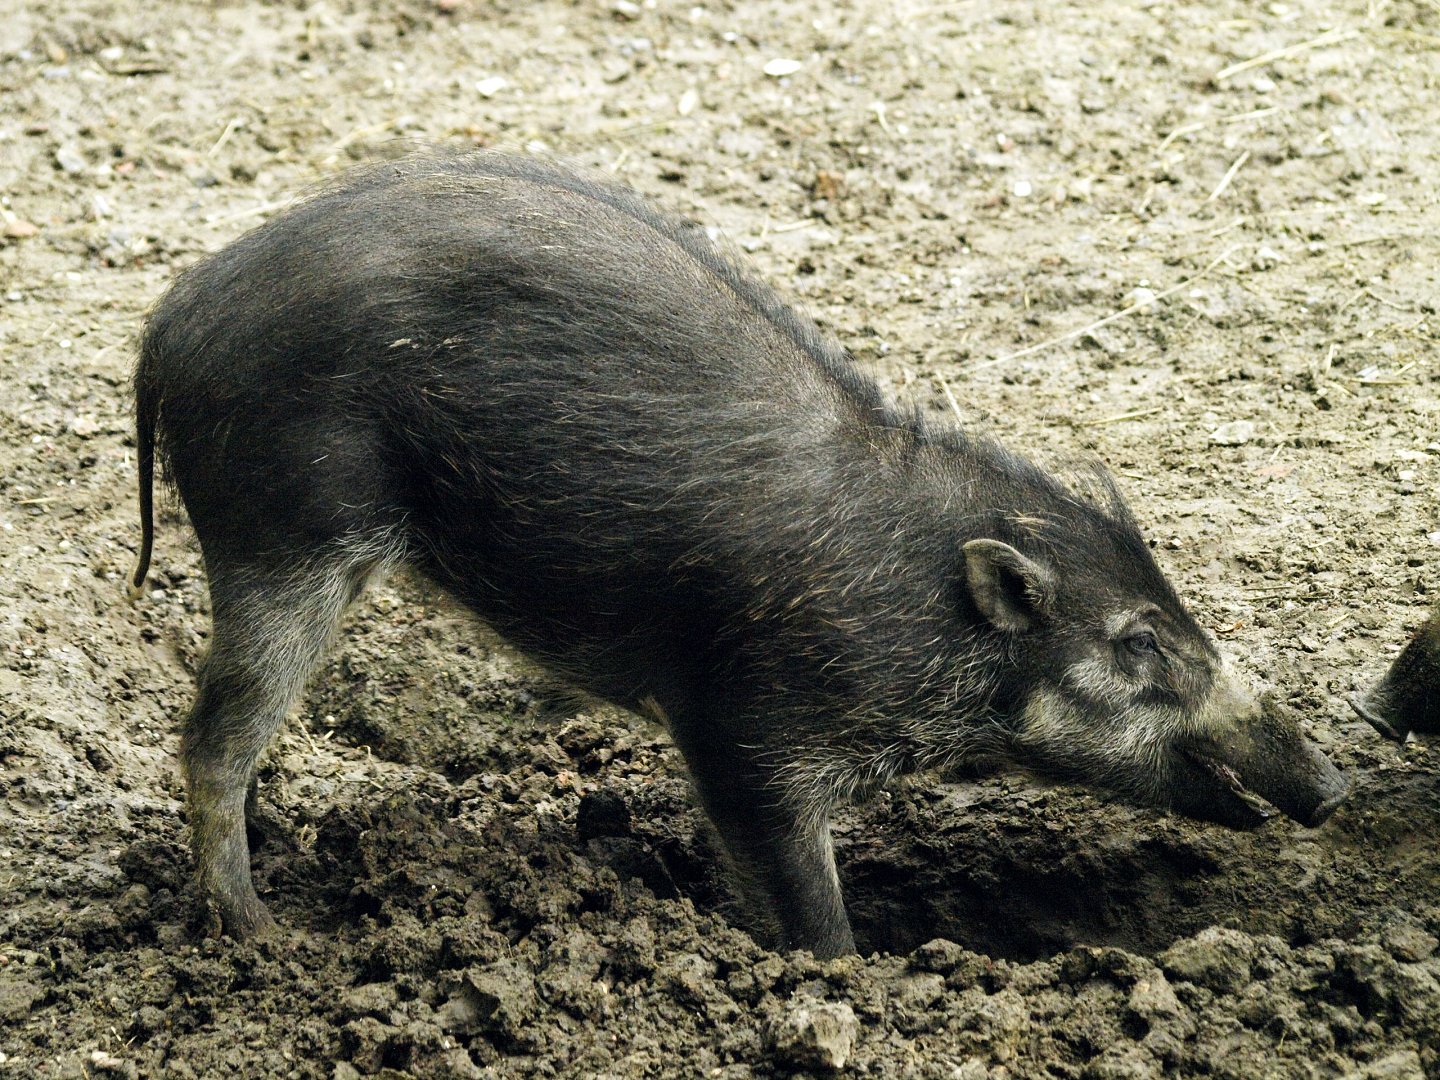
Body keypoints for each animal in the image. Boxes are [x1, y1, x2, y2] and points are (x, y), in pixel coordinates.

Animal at [132, 151, 1348, 958]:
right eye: (1138, 642)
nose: (1337, 788)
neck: (923, 623)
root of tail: (172, 323)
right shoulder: (745, 729)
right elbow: (807, 901)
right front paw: (847, 980)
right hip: (286, 537)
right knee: (213, 741)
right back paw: (261, 935)